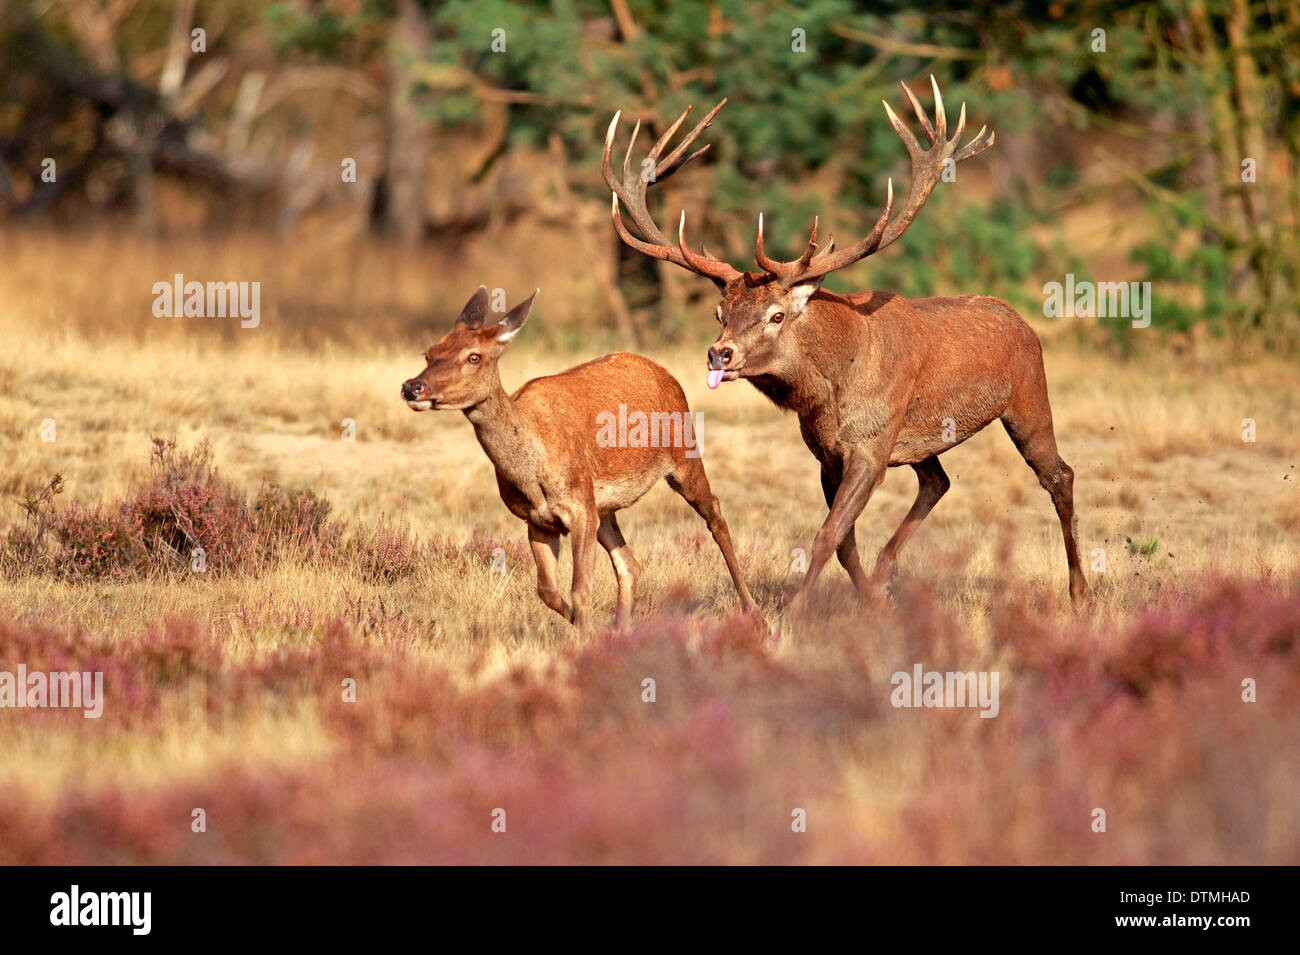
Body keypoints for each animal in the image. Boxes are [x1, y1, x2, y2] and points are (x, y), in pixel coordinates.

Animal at [400, 286, 756, 636]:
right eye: (429, 352)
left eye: (474, 356)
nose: (411, 387)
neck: (531, 476)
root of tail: (663, 371)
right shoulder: (538, 520)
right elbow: (547, 590)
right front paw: (592, 631)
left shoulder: (579, 507)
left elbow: (580, 591)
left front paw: (586, 639)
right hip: (605, 506)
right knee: (629, 563)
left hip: (684, 452)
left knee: (714, 512)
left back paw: (755, 614)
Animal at [602, 77, 1088, 613]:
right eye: (719, 314)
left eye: (776, 315)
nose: (719, 354)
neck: (831, 391)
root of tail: (1022, 322)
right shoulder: (827, 454)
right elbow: (843, 541)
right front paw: (869, 603)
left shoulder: (870, 446)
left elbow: (827, 534)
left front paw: (795, 612)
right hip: (919, 436)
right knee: (937, 481)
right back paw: (886, 572)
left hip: (1027, 399)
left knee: (1059, 475)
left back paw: (1080, 592)